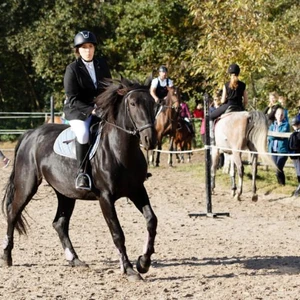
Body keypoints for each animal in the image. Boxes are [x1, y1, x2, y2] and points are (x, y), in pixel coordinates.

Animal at [0, 79, 157, 282]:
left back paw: (74, 259)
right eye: (133, 104)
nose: (150, 139)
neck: (121, 151)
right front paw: (130, 270)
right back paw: (7, 256)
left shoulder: (137, 190)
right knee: (13, 213)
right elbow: (117, 233)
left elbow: (151, 221)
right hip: (27, 185)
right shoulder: (105, 198)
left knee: (59, 223)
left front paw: (143, 263)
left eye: (152, 103)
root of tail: (31, 134)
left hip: (65, 193)